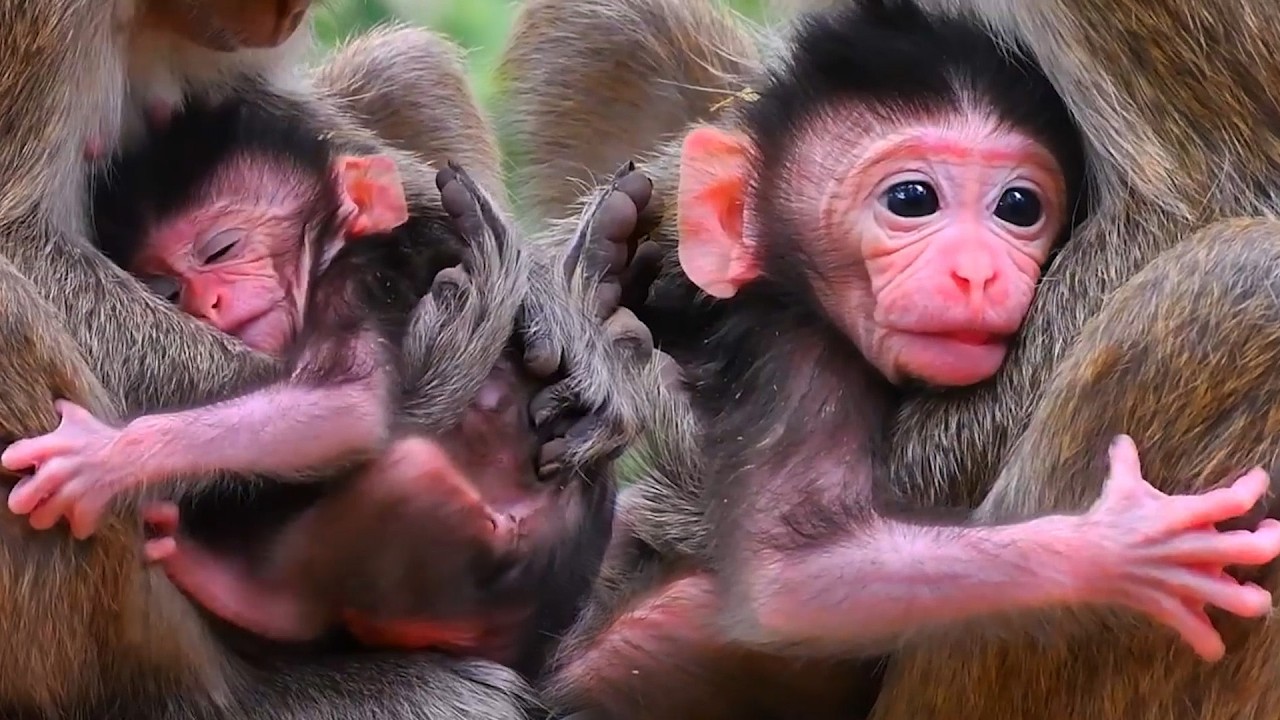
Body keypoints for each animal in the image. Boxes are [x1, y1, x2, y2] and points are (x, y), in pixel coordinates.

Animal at [0, 3, 629, 717]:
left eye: (222, 249)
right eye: (167, 283)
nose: (209, 299)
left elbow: (256, 102)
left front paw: (551, 304)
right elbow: (21, 240)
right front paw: (429, 385)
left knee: (408, 66)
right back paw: (230, 692)